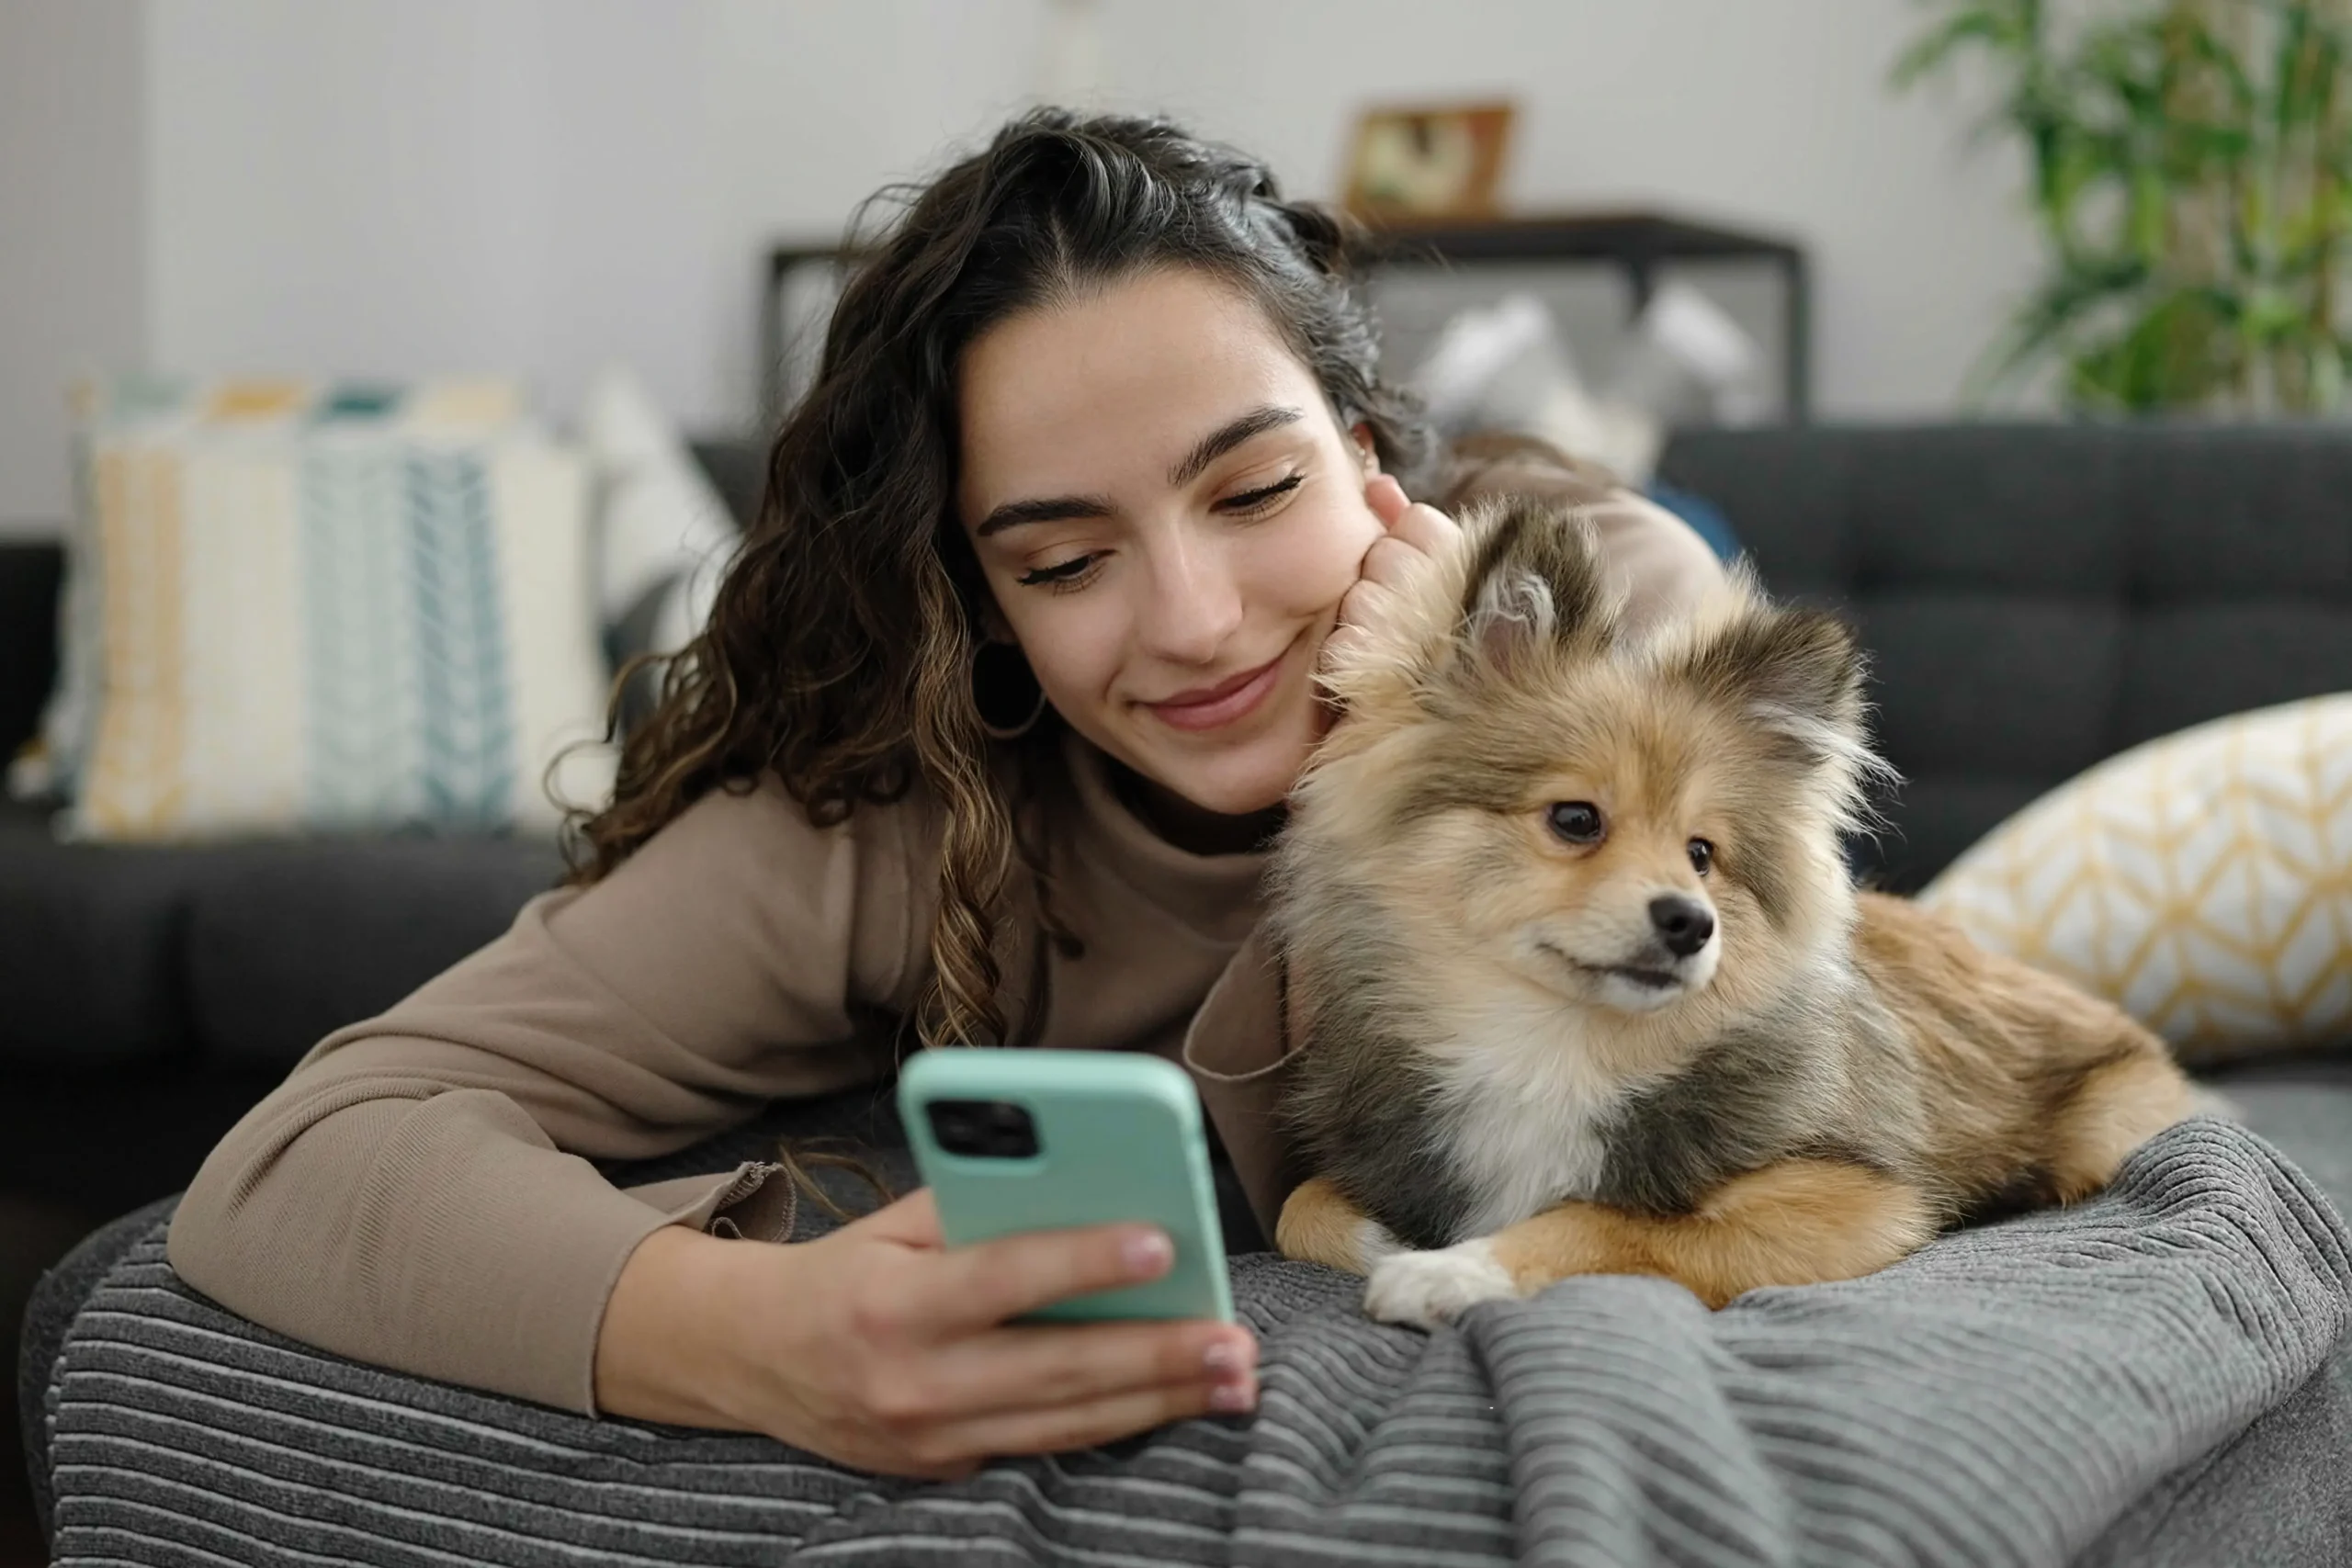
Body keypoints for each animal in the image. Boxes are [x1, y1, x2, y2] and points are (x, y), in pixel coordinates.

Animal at [1270, 495, 2201, 1335]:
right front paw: (1396, 1240)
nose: (1690, 922)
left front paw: (1456, 1269)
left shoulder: (1845, 1199)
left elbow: (1605, 1221)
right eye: (1576, 819)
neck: (1552, 1048)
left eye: (1702, 855)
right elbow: (1299, 1207)